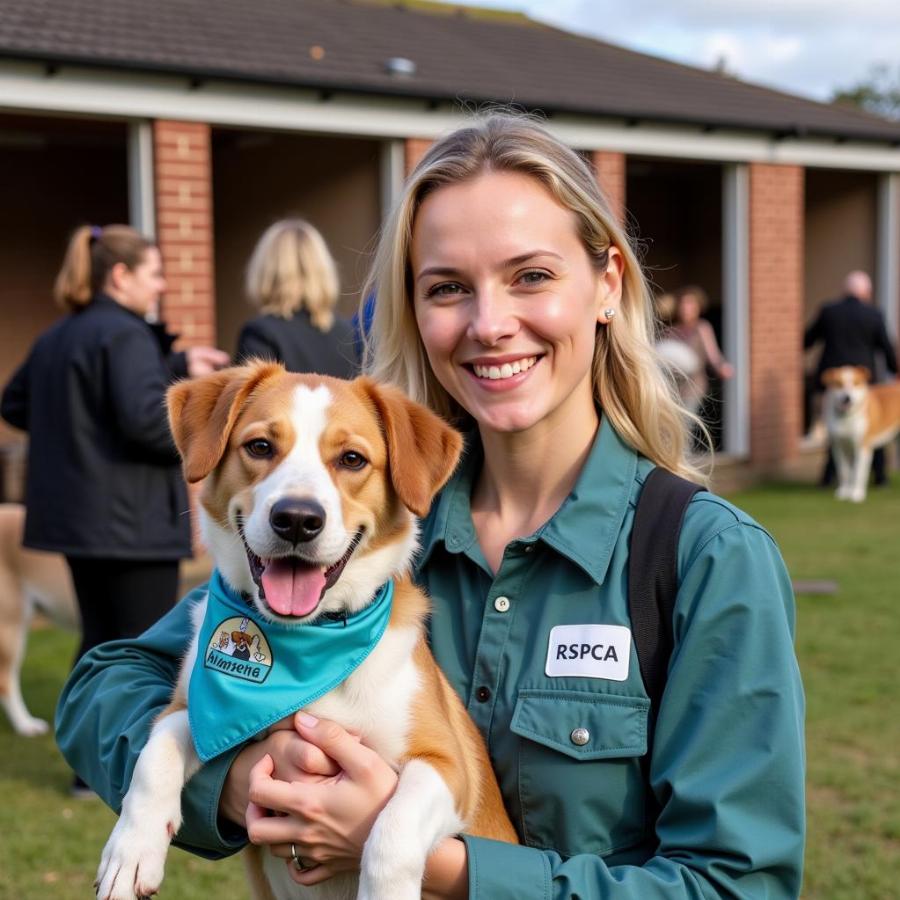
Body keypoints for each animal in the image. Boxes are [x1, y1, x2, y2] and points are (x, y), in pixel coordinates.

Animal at [95, 364, 516, 900]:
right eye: (259, 447)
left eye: (352, 459)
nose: (297, 519)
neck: (308, 647)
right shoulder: (194, 707)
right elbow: (156, 751)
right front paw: (130, 850)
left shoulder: (447, 766)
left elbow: (393, 830)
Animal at [824, 370, 900, 502]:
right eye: (839, 384)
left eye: (856, 383)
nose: (847, 398)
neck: (847, 418)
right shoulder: (839, 448)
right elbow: (844, 472)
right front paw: (844, 492)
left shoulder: (862, 447)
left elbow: (857, 472)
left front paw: (856, 494)